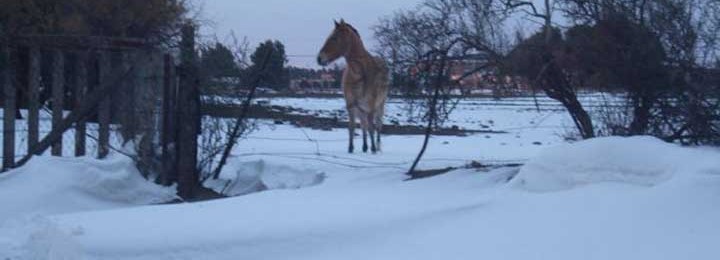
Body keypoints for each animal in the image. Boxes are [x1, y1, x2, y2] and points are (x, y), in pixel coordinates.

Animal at [320, 19, 390, 154]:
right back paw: (364, 147)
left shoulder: (370, 106)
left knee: (378, 125)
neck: (359, 74)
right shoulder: (351, 105)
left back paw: (377, 147)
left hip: (380, 105)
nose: (319, 58)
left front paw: (373, 149)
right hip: (361, 108)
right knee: (363, 125)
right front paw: (350, 149)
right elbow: (352, 127)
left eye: (334, 38)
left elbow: (371, 127)